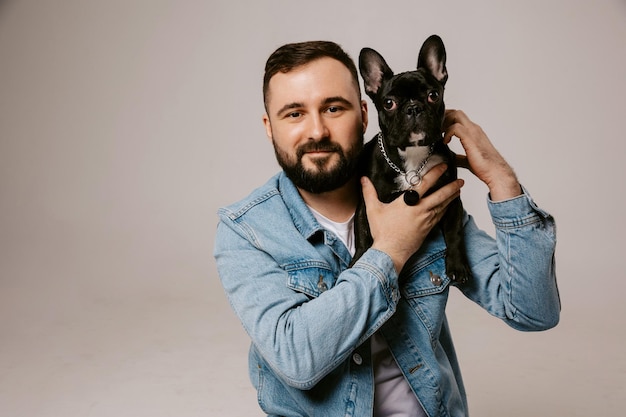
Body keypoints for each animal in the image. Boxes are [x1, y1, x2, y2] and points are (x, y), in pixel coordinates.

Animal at [352, 34, 468, 284]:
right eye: (389, 103)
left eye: (433, 95)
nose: (414, 108)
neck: (413, 158)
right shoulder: (368, 201)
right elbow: (363, 233)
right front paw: (358, 259)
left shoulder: (452, 198)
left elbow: (455, 232)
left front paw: (457, 265)